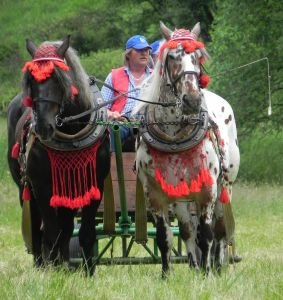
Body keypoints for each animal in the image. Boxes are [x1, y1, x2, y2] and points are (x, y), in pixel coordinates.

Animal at [6, 36, 111, 276]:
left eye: (58, 79)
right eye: (31, 81)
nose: (43, 127)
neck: (72, 132)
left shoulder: (94, 184)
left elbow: (85, 232)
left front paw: (88, 273)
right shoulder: (42, 187)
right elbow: (51, 232)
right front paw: (53, 272)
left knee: (66, 226)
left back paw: (64, 264)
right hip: (25, 188)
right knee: (38, 231)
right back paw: (43, 265)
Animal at [133, 22, 240, 276]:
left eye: (198, 56)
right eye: (173, 56)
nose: (192, 100)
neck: (174, 138)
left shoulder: (207, 191)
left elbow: (207, 235)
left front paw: (208, 273)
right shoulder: (155, 195)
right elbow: (165, 238)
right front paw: (166, 275)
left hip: (225, 187)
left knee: (219, 231)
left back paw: (217, 266)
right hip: (181, 199)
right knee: (188, 231)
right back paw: (194, 266)